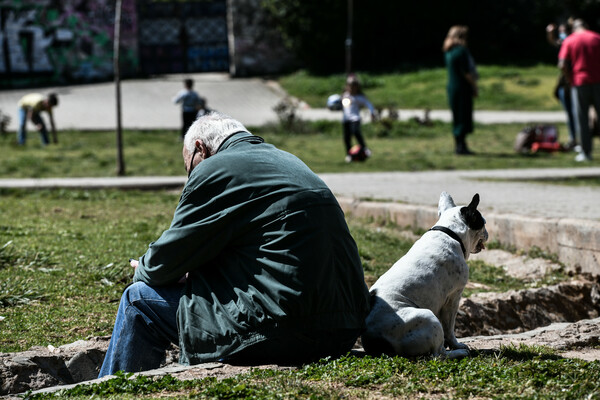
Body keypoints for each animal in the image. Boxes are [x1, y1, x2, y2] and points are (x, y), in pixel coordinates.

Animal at [360, 192, 488, 358]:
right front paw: (456, 344)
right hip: (428, 317)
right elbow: (449, 328)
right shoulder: (453, 298)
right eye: (483, 223)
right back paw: (459, 352)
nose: (487, 233)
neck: (450, 232)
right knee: (439, 355)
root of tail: (377, 343)